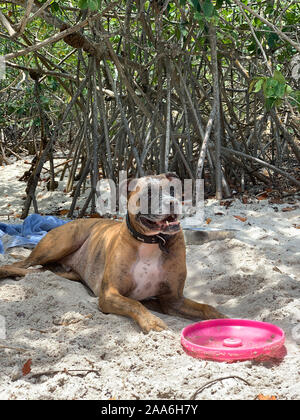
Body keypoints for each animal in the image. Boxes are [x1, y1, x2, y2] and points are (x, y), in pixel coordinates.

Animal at [0, 172, 225, 334]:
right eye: (149, 194)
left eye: (173, 190)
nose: (173, 203)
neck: (153, 242)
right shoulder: (110, 294)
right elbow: (135, 304)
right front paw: (152, 322)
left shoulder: (173, 300)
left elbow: (207, 308)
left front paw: (222, 317)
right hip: (60, 244)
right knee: (18, 264)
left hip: (60, 271)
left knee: (32, 271)